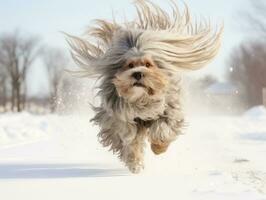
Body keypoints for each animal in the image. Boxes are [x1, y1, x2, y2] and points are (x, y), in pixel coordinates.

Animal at [66, 0, 222, 173]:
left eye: (148, 64)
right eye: (130, 65)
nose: (138, 73)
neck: (142, 100)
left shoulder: (169, 111)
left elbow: (162, 129)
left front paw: (159, 147)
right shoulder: (121, 120)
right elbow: (131, 141)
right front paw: (135, 163)